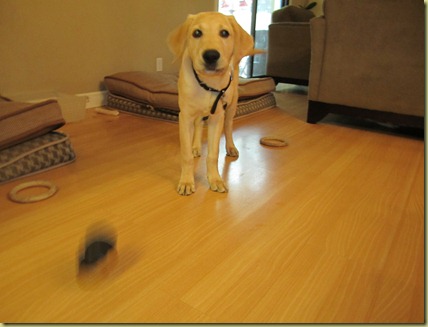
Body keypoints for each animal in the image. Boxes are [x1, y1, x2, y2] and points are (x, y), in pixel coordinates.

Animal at [168, 12, 258, 197]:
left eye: (224, 33)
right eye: (196, 33)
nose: (210, 55)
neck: (208, 83)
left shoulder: (217, 117)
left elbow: (213, 154)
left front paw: (215, 179)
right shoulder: (185, 116)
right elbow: (186, 154)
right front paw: (186, 181)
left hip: (231, 105)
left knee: (229, 127)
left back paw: (231, 147)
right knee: (198, 124)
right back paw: (196, 147)